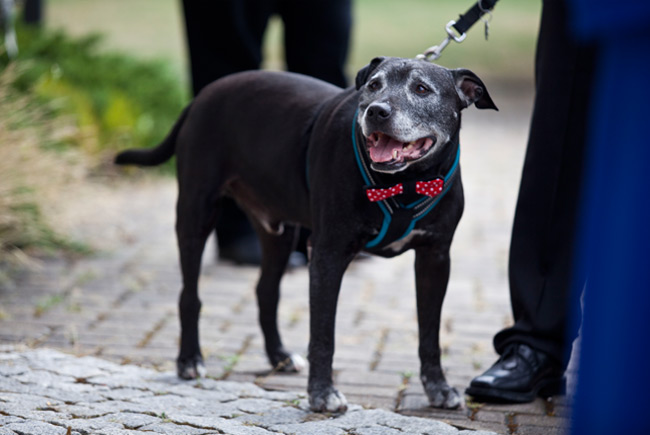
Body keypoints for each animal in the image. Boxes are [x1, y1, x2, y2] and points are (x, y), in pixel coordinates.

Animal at [114, 57, 494, 412]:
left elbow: (430, 332)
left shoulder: (435, 258)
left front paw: (438, 388)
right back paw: (190, 360)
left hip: (278, 232)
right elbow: (323, 334)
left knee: (265, 291)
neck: (406, 183)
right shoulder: (327, 255)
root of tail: (203, 95)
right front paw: (322, 394)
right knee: (189, 295)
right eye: (374, 85)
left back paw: (279, 356)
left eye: (422, 89)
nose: (377, 111)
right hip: (196, 213)